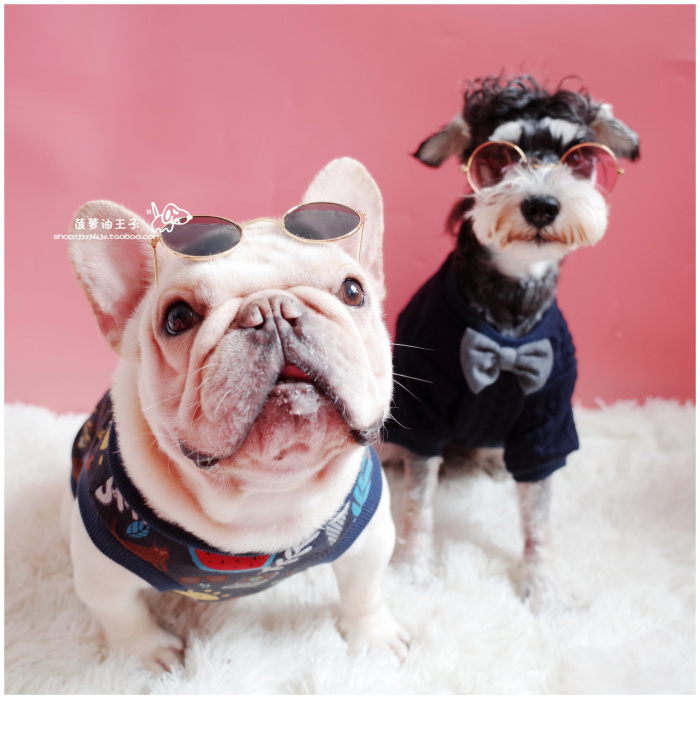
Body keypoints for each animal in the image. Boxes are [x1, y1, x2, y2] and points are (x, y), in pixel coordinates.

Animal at [61, 158, 410, 672]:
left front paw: (374, 637)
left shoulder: (369, 538)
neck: (268, 493)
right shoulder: (100, 571)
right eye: (178, 318)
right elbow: (122, 615)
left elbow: (364, 589)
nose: (273, 308)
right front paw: (147, 656)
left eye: (352, 291)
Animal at [382, 75, 639, 610]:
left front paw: (544, 593)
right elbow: (418, 503)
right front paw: (412, 571)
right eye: (498, 155)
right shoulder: (424, 415)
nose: (541, 204)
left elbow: (538, 519)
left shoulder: (547, 420)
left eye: (578, 157)